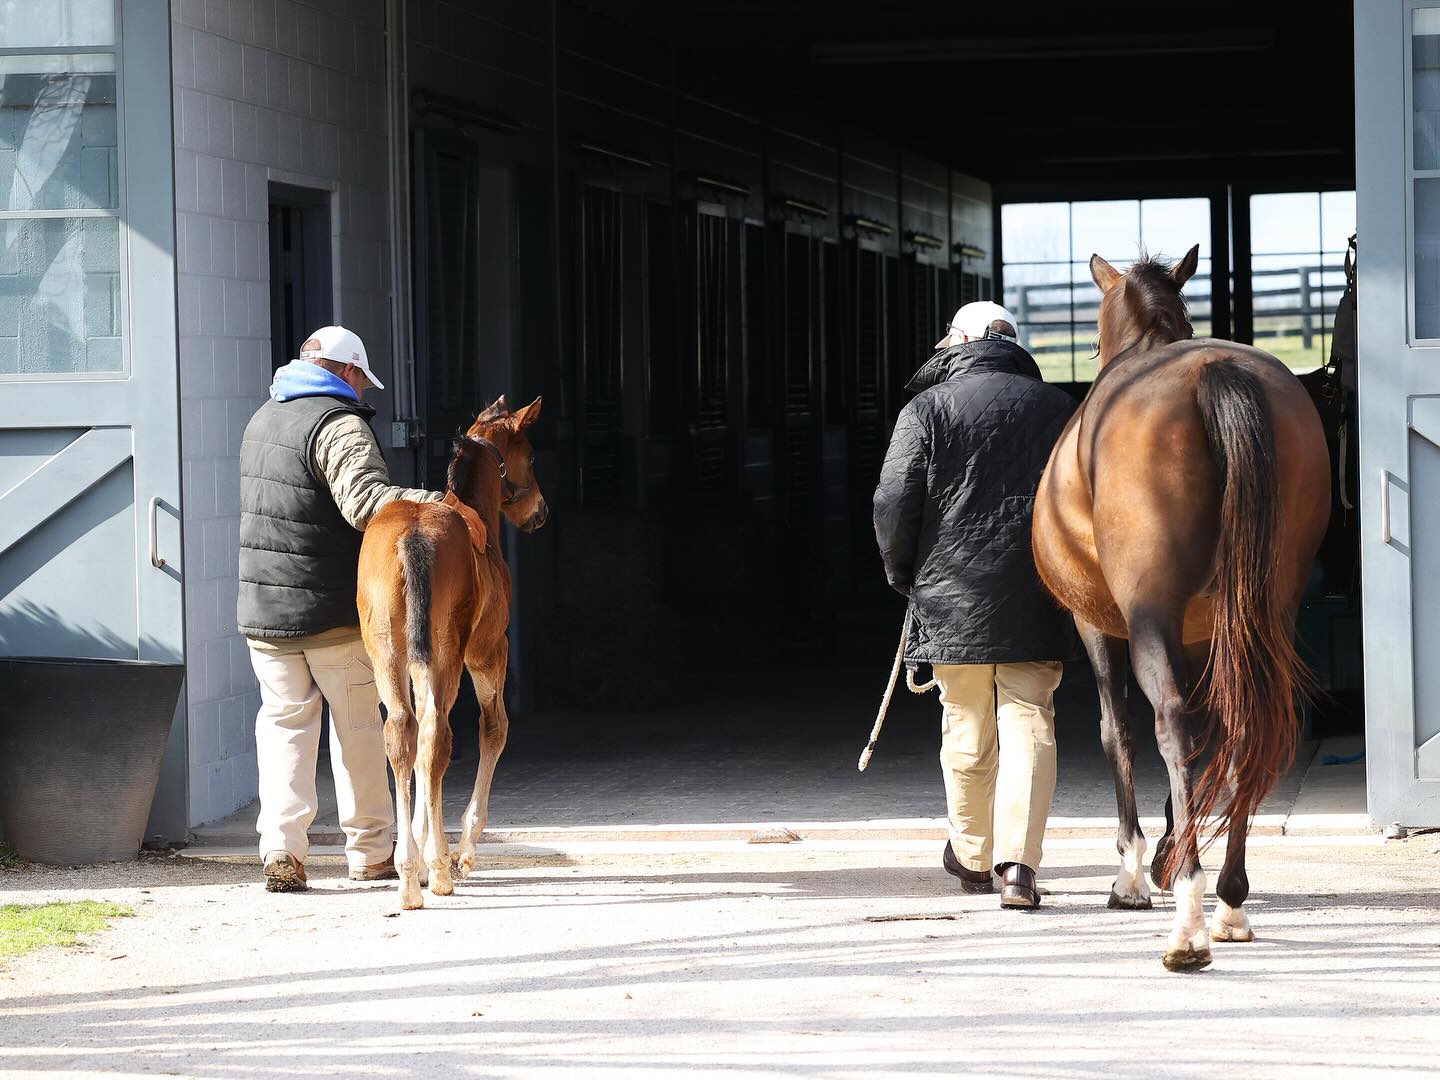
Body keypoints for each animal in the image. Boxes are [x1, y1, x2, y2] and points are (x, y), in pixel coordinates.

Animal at [358, 395, 548, 910]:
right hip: (449, 654)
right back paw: (440, 870)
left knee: (404, 733)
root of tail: (411, 537)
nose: (540, 511)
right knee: (436, 736)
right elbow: (494, 729)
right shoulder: (488, 653)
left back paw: (408, 875)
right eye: (529, 455)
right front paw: (460, 852)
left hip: (387, 652)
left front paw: (424, 856)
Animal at [1032, 247, 1330, 971]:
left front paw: (1135, 873)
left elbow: (1119, 733)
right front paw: (1170, 850)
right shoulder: (1202, 635)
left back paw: (1189, 917)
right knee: (1246, 728)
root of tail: (1213, 374)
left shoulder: (1099, 627)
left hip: (1147, 618)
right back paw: (1228, 899)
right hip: (1263, 615)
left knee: (1169, 722)